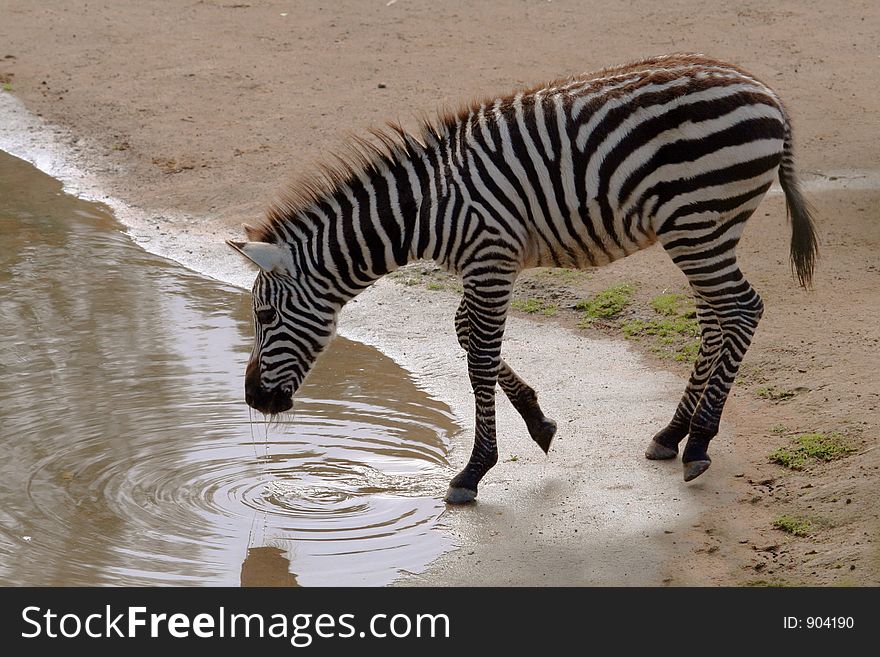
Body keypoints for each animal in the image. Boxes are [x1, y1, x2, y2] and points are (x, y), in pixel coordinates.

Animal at [227, 53, 820, 504]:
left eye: (264, 315)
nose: (254, 399)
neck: (423, 211)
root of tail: (765, 91)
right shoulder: (483, 264)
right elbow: (467, 336)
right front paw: (539, 423)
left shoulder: (491, 257)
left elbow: (480, 354)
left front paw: (473, 471)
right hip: (707, 228)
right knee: (716, 318)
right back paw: (671, 433)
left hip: (697, 221)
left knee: (742, 309)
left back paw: (699, 441)